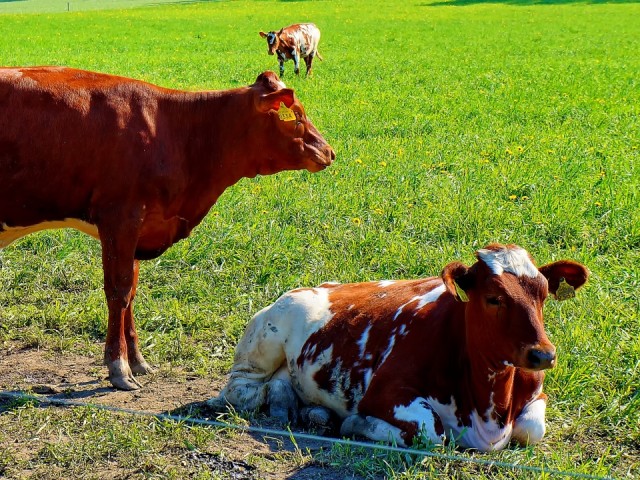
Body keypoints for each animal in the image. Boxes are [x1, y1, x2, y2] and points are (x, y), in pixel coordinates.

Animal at [0, 66, 338, 390]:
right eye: (295, 115)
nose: (329, 152)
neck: (175, 131)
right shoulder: (119, 219)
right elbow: (118, 291)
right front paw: (118, 367)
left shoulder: (139, 229)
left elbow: (131, 292)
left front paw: (137, 361)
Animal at [211, 246, 592, 452]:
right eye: (493, 297)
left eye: (543, 294)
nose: (543, 354)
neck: (488, 406)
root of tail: (317, 285)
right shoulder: (384, 391)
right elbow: (431, 432)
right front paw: (355, 423)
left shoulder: (536, 393)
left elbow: (531, 429)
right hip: (264, 340)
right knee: (241, 390)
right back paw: (282, 403)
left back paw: (310, 411)